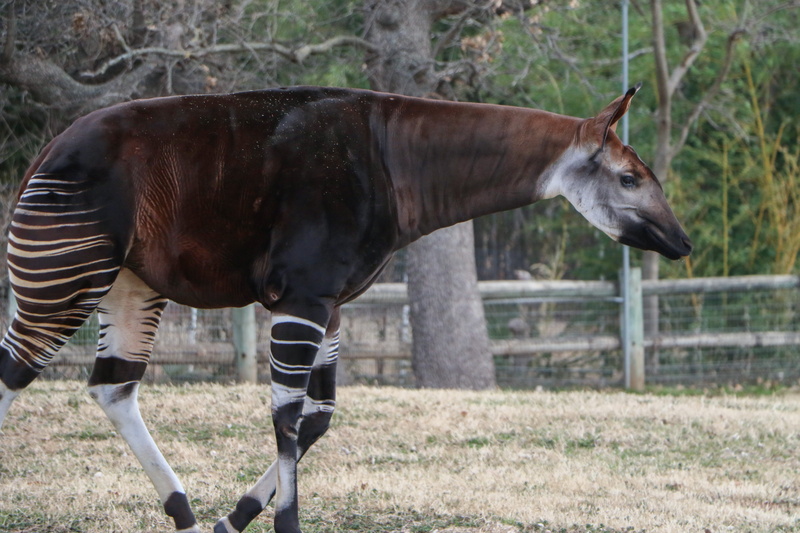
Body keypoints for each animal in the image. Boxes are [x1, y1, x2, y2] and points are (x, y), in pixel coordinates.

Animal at [0, 84, 691, 533]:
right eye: (630, 179)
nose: (681, 243)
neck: (398, 160)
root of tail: (44, 154)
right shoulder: (302, 294)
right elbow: (286, 415)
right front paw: (286, 526)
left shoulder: (331, 306)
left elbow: (318, 418)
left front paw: (232, 520)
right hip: (65, 277)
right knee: (17, 371)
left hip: (130, 284)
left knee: (112, 387)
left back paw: (187, 517)